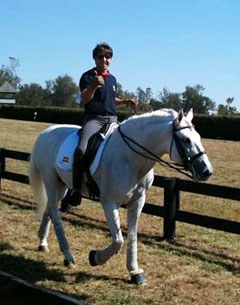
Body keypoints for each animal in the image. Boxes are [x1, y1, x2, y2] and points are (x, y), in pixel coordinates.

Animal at [29, 108, 212, 284]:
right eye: (186, 139)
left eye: (198, 137)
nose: (207, 171)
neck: (130, 158)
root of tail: (46, 132)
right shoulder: (109, 202)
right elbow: (118, 240)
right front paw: (95, 257)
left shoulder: (138, 201)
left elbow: (132, 235)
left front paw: (135, 272)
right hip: (51, 181)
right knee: (55, 214)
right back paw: (68, 257)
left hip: (62, 185)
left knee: (50, 210)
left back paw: (43, 243)